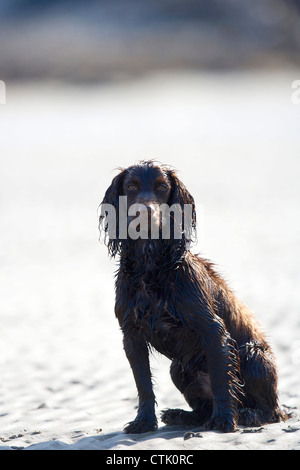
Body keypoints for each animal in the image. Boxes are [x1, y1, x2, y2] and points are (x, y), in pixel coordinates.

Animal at [99, 161, 286, 434]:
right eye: (131, 186)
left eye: (162, 187)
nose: (145, 212)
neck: (150, 266)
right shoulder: (131, 335)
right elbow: (143, 385)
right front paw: (143, 421)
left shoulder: (214, 330)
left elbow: (221, 380)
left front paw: (223, 420)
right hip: (178, 368)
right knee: (201, 408)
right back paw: (180, 415)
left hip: (252, 354)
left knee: (272, 411)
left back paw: (249, 414)